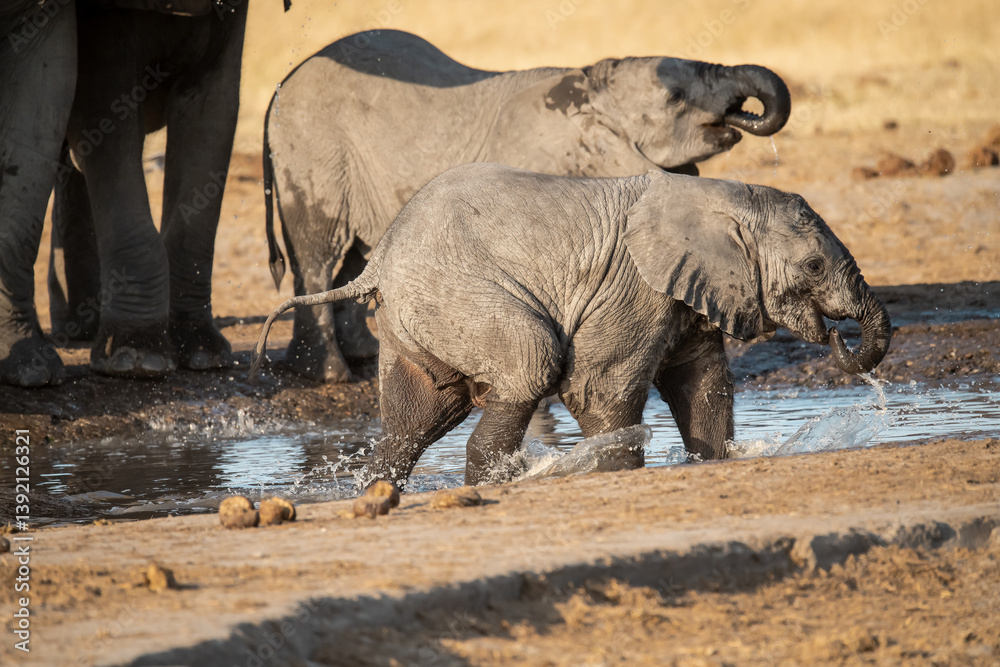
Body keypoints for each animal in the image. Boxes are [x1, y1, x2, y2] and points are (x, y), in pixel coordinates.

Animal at [251, 163, 892, 487]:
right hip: (459, 295)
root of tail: (379, 258)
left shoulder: (688, 290)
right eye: (813, 267)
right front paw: (617, 471)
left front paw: (713, 461)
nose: (839, 336)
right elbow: (599, 390)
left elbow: (702, 382)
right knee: (531, 362)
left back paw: (385, 488)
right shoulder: (633, 287)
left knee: (416, 420)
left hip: (418, 319)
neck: (719, 193)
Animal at [263, 29, 792, 382]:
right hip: (313, 151)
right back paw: (332, 375)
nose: (744, 115)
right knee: (318, 252)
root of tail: (281, 83)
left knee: (350, 256)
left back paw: (361, 357)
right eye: (676, 97)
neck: (591, 86)